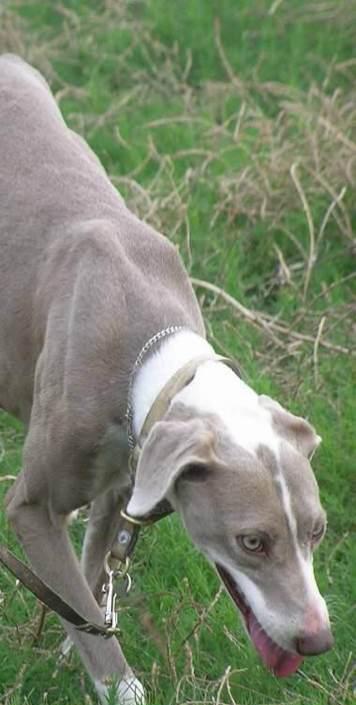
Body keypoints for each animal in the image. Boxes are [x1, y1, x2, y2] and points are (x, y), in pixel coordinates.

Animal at [0, 56, 334, 704]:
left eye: (317, 530)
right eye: (252, 541)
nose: (317, 641)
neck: (152, 353)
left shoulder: (122, 478)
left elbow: (91, 575)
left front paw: (75, 639)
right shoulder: (32, 506)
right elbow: (69, 579)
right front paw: (117, 681)